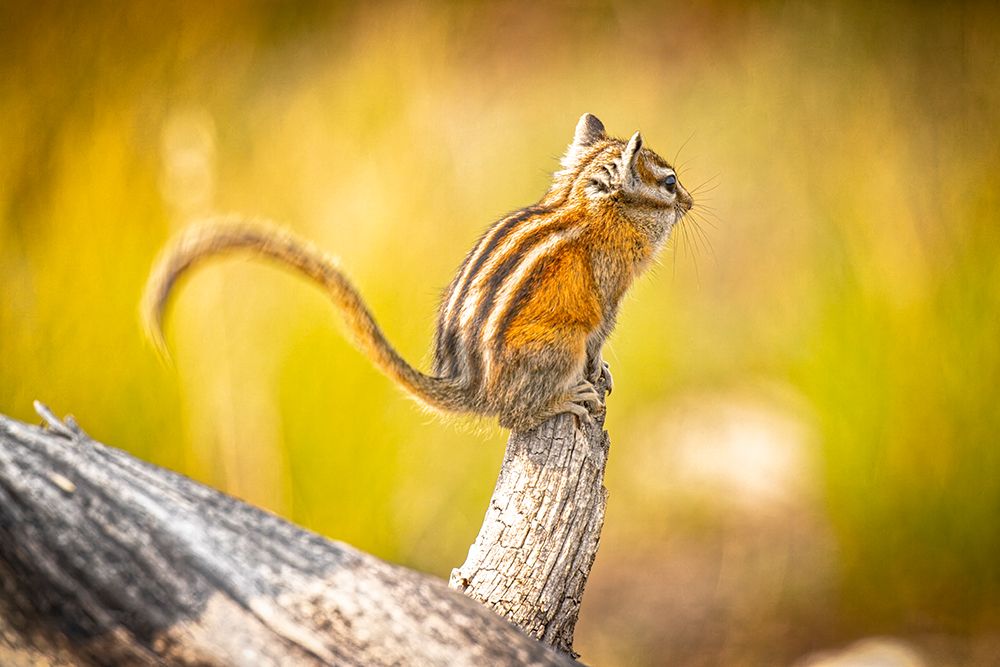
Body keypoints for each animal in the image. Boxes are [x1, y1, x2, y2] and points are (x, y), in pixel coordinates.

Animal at [141, 113, 693, 432]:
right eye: (668, 183)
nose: (689, 202)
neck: (588, 205)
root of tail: (474, 388)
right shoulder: (608, 298)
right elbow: (600, 339)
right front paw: (599, 374)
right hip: (558, 348)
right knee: (514, 417)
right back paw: (565, 400)